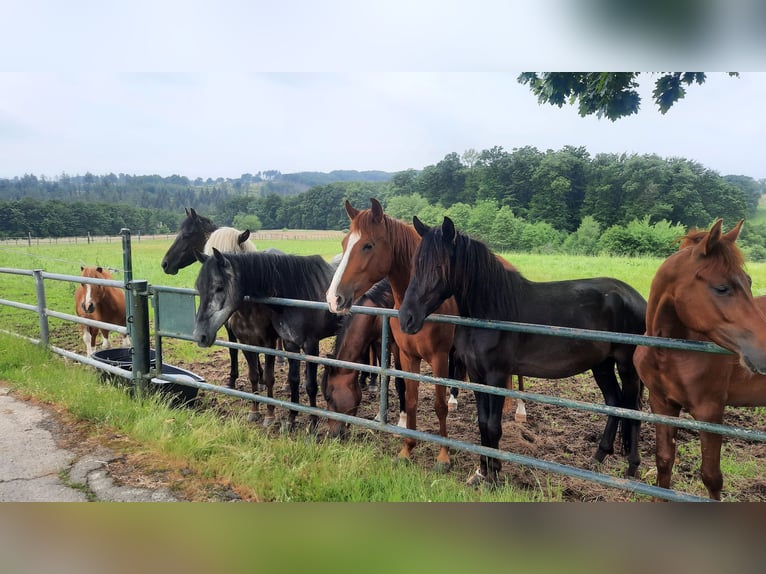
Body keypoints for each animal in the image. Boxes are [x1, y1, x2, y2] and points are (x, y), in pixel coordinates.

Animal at [193, 248, 343, 431]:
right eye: (198, 287)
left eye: (219, 287)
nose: (200, 335)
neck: (296, 292)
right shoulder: (289, 344)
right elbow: (291, 380)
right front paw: (290, 419)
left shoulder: (310, 345)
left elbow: (310, 386)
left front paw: (313, 423)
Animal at [398, 216, 648, 486]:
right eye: (415, 265)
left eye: (438, 267)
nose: (406, 318)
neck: (490, 311)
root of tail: (638, 299)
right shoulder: (477, 375)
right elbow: (483, 424)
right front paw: (482, 471)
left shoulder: (496, 375)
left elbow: (493, 426)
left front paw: (494, 475)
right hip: (602, 365)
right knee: (614, 403)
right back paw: (597, 458)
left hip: (626, 366)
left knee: (632, 409)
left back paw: (631, 469)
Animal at [633, 219, 766, 499]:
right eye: (722, 288)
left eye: (749, 282)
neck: (669, 353)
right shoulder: (661, 404)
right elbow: (664, 461)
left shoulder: (710, 411)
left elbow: (711, 477)